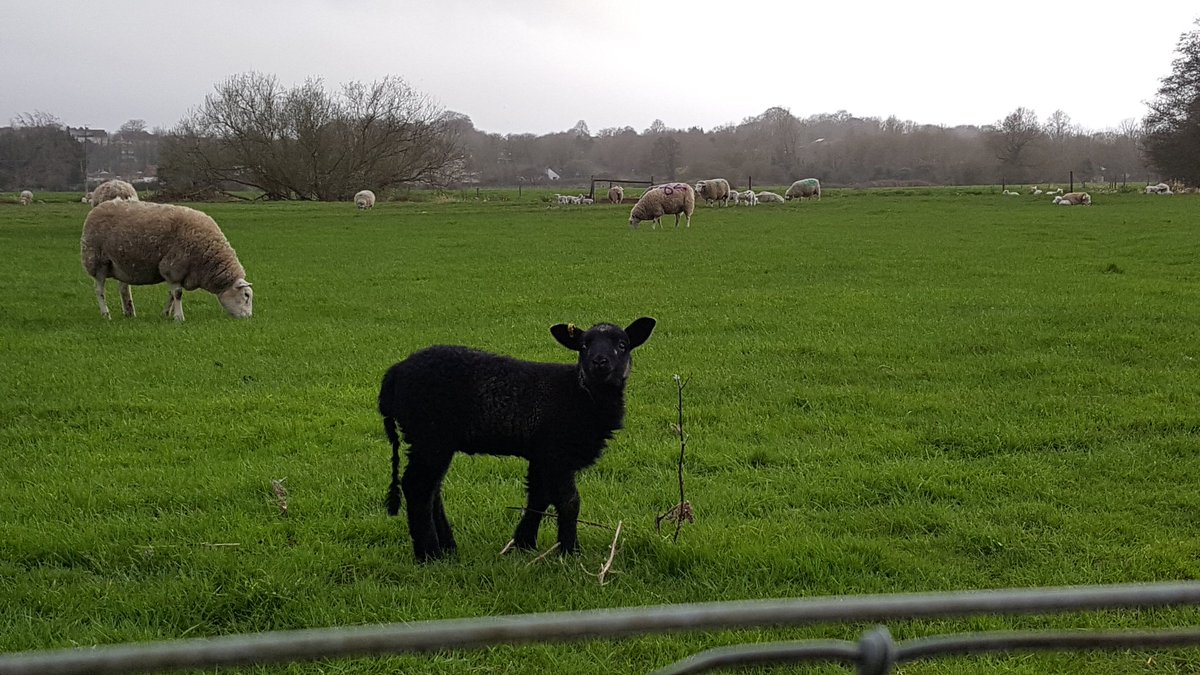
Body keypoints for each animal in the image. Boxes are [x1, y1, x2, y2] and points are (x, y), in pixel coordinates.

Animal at [80, 200, 253, 321]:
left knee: (122, 288)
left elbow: (171, 294)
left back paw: (128, 312)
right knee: (99, 291)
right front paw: (179, 317)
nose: (249, 318)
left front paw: (166, 314)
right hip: (97, 261)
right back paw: (106, 314)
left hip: (119, 265)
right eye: (246, 295)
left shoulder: (178, 273)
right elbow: (177, 294)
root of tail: (98, 207)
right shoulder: (172, 267)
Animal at [379, 317, 657, 561]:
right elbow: (569, 502)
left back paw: (447, 547)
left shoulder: (542, 454)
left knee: (432, 489)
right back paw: (429, 554)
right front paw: (570, 552)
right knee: (418, 486)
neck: (580, 393)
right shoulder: (557, 453)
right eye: (584, 346)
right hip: (430, 434)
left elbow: (538, 497)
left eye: (622, 345)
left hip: (432, 440)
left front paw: (524, 544)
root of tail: (395, 372)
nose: (600, 362)